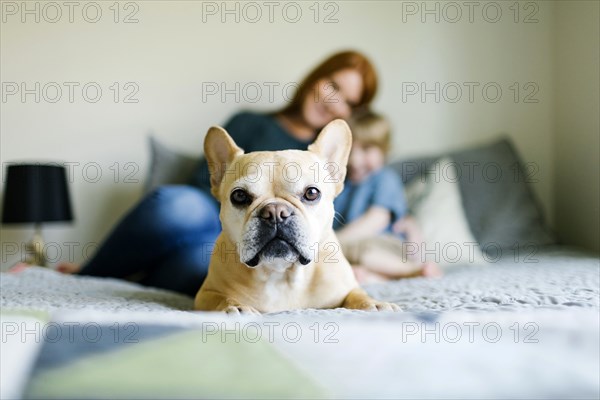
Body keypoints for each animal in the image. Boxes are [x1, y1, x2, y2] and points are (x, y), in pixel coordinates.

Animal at [197, 119, 400, 316]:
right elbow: (222, 298)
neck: (281, 273)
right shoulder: (205, 294)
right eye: (239, 196)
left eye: (312, 193)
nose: (275, 212)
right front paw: (236, 307)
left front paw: (375, 304)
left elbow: (358, 294)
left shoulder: (346, 289)